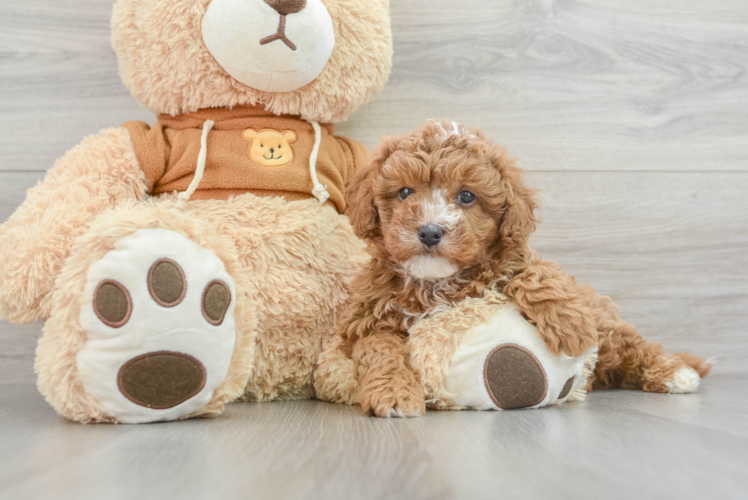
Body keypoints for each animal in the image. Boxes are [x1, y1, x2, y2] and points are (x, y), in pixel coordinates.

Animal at [330, 120, 712, 418]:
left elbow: (535, 273)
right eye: (405, 192)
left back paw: (676, 372)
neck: (438, 282)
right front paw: (394, 394)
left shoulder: (514, 261)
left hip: (606, 328)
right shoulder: (370, 321)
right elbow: (380, 352)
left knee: (635, 347)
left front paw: (570, 327)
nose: (429, 231)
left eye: (466, 196)